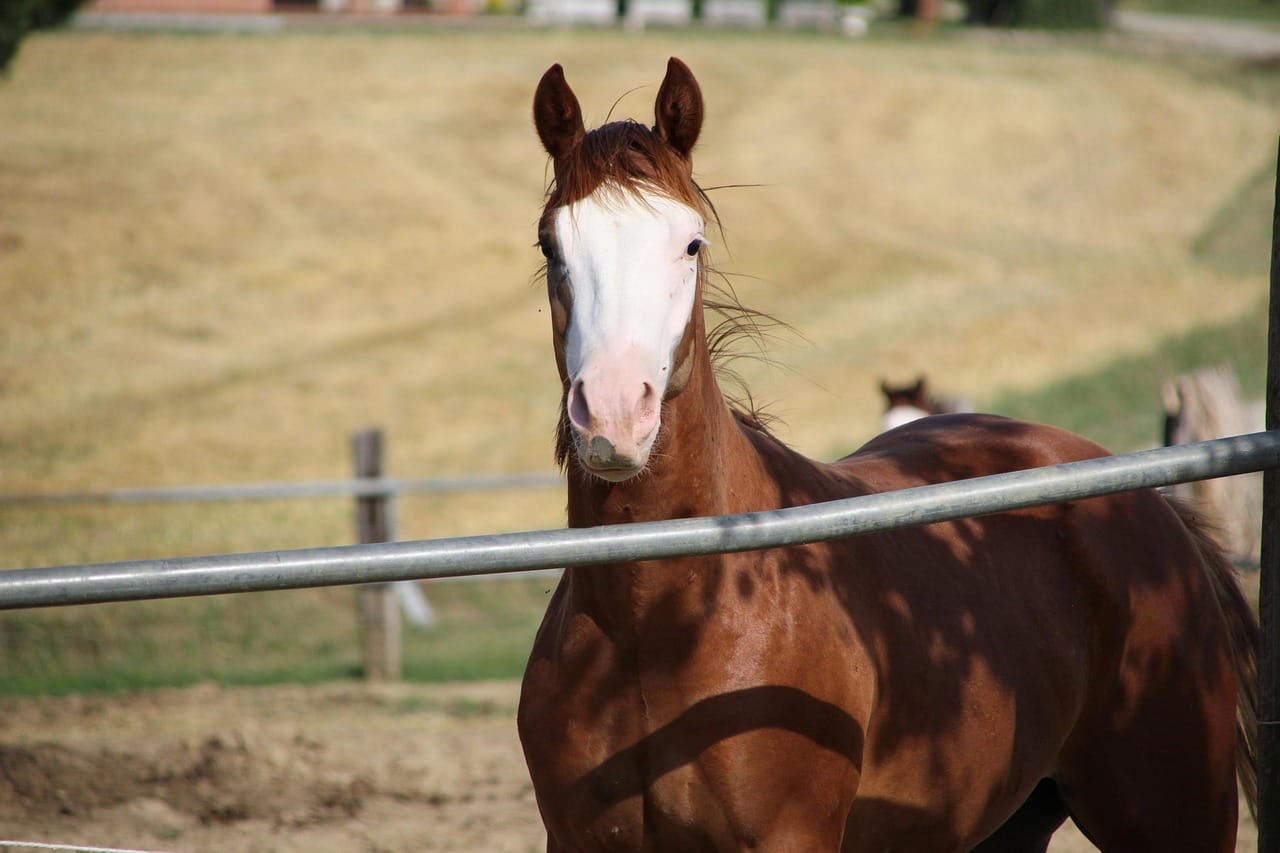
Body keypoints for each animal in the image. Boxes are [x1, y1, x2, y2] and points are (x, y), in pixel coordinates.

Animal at [518, 58, 1258, 852]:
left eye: (691, 244)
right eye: (551, 246)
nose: (614, 414)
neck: (665, 623)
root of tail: (1156, 514)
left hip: (1177, 816)